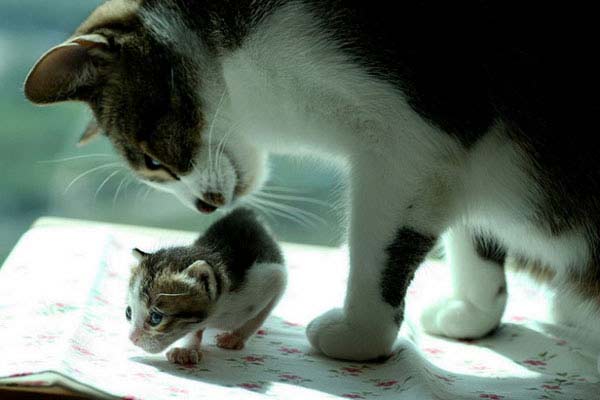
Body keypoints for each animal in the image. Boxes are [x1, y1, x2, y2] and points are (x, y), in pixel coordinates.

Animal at [125, 208, 284, 364]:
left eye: (156, 317)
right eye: (128, 312)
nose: (132, 339)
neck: (219, 313)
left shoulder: (271, 279)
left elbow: (257, 317)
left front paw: (236, 337)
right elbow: (195, 329)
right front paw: (187, 349)